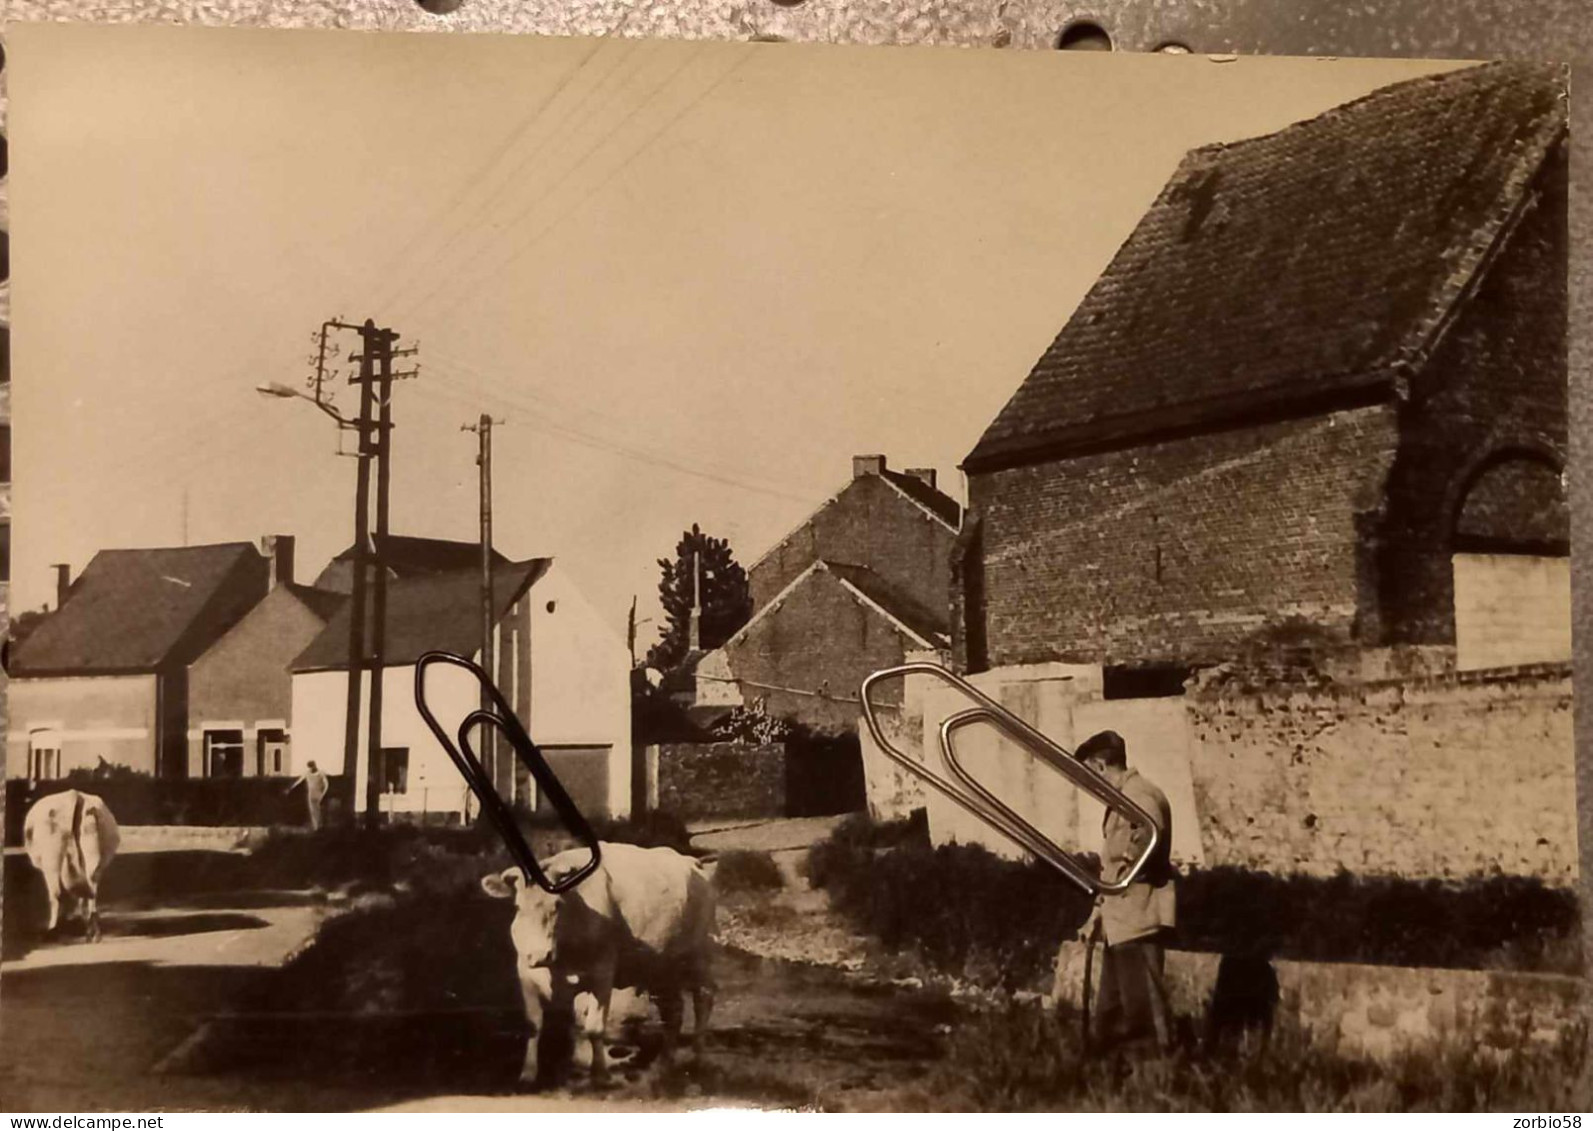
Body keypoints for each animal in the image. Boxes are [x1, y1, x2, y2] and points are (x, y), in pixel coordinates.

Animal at [23, 793, 121, 943]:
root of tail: (74, 796)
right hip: (93, 849)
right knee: (91, 887)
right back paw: (93, 933)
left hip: (52, 855)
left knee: (56, 893)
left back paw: (53, 930)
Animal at [477, 841, 716, 1089]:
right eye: (518, 907)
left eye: (557, 905)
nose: (540, 954)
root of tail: (691, 862)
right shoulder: (525, 973)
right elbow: (534, 1025)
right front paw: (529, 1073)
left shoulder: (602, 971)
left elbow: (594, 1027)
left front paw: (599, 1074)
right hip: (660, 967)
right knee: (674, 1011)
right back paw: (663, 1066)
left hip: (699, 955)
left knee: (703, 998)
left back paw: (699, 1059)